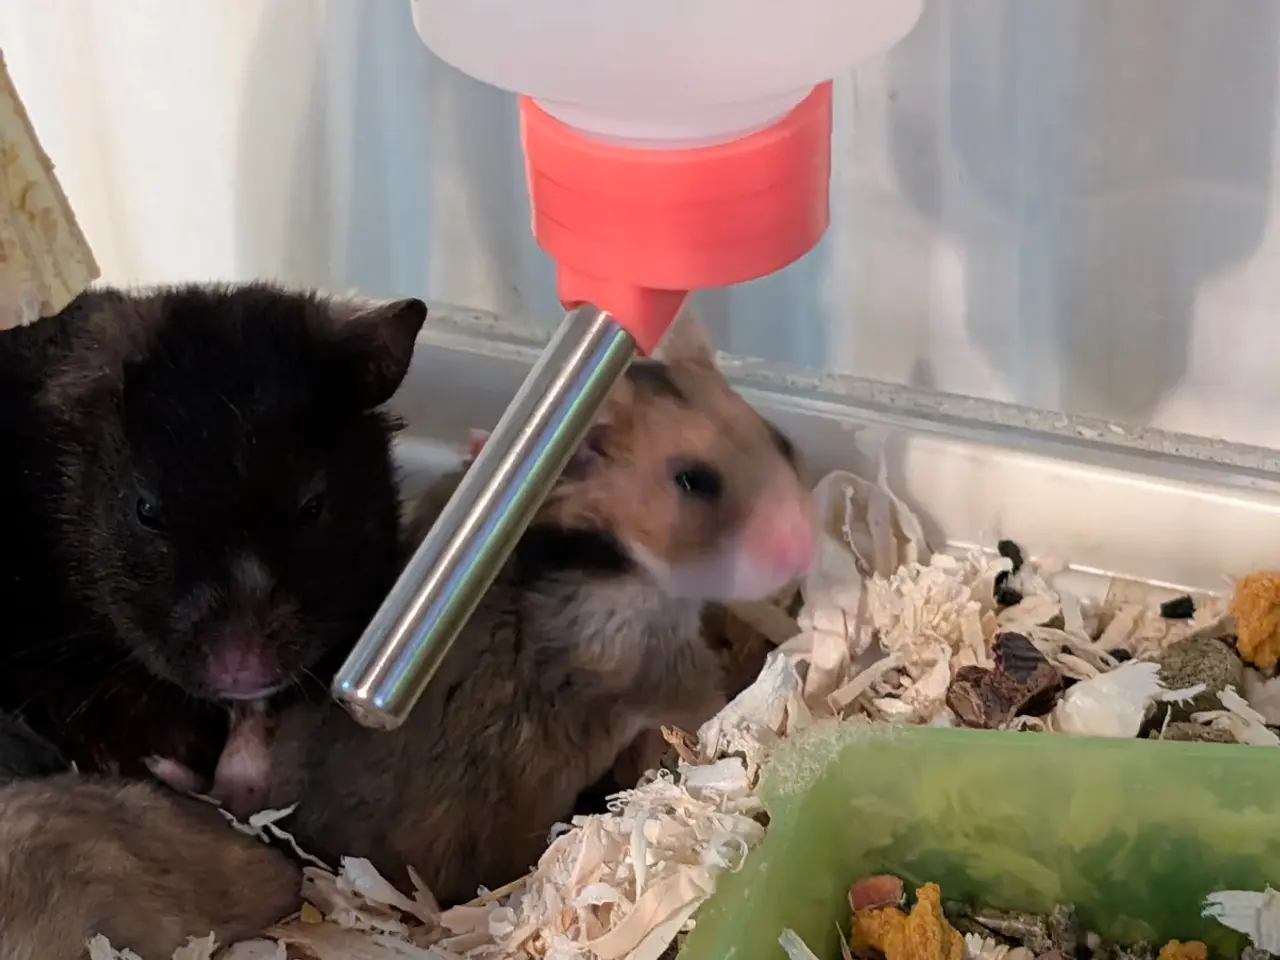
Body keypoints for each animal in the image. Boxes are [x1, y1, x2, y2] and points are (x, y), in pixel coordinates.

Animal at [265, 317, 814, 905]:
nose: (804, 552)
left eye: (780, 439)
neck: (608, 552)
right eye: (694, 481)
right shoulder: (645, 656)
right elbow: (710, 699)